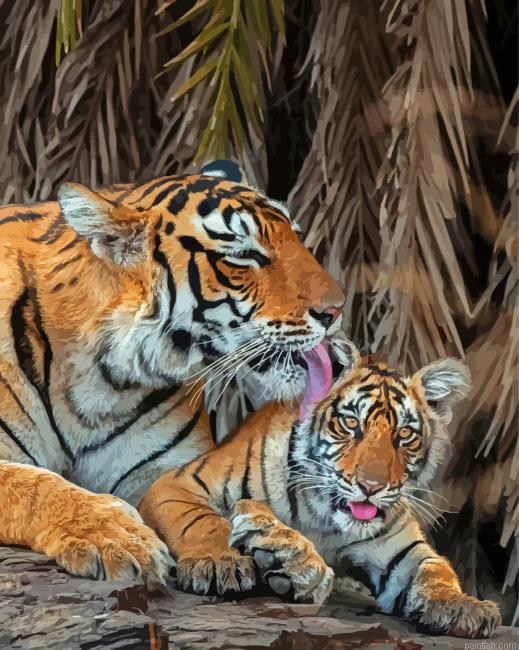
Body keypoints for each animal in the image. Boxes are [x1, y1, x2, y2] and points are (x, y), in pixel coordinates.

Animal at [0, 160, 344, 586]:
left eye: (296, 236)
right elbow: (35, 485)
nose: (336, 310)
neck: (104, 386)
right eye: (244, 255)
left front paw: (287, 550)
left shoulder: (168, 469)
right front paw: (117, 536)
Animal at [139, 335, 501, 638]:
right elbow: (201, 522)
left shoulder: (401, 547)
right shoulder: (178, 482)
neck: (325, 516)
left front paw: (464, 606)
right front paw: (219, 563)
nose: (371, 486)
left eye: (404, 435)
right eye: (351, 423)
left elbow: (434, 569)